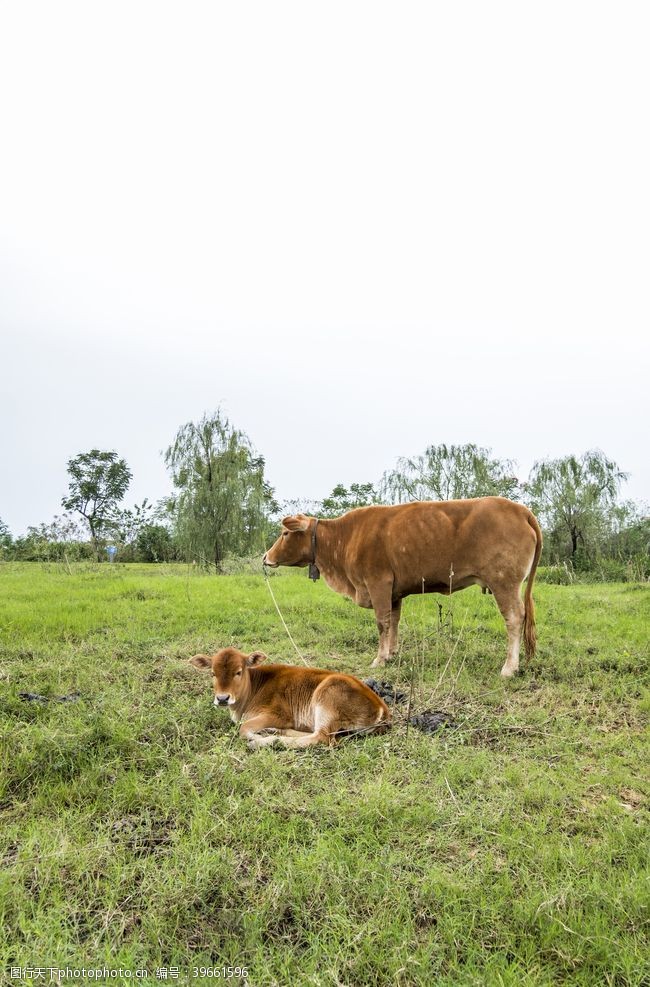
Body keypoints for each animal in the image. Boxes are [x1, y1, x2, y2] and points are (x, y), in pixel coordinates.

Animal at [187, 648, 390, 748]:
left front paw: (257, 738)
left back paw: (266, 741)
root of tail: (382, 708)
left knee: (322, 737)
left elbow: (243, 729)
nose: (222, 698)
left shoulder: (278, 714)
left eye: (238, 672)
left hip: (327, 697)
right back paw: (274, 732)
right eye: (212, 673)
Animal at [264, 494, 540, 680]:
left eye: (285, 534)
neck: (345, 538)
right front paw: (392, 653)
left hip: (504, 582)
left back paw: (509, 668)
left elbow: (382, 622)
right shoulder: (393, 591)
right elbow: (394, 621)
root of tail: (520, 509)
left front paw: (379, 658)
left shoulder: (378, 583)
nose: (265, 557)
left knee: (514, 618)